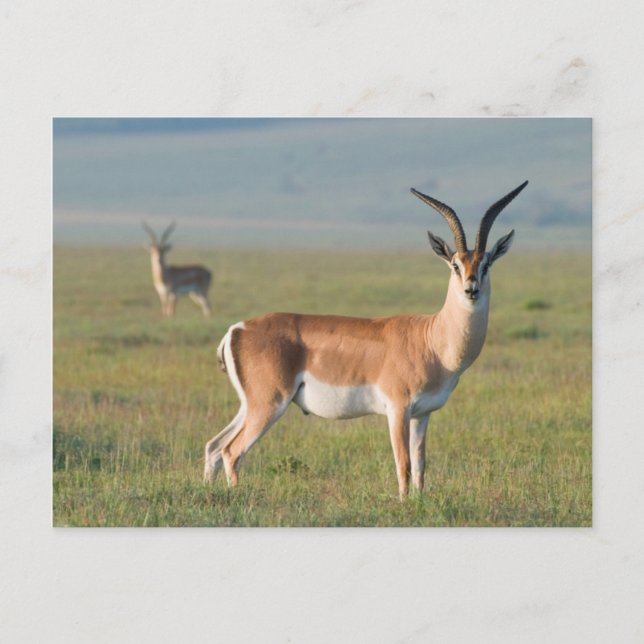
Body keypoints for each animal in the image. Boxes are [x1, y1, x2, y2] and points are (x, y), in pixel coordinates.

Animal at [204, 181, 528, 499]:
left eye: (486, 264)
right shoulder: (398, 408)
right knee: (233, 451)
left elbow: (420, 465)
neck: (432, 340)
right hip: (269, 403)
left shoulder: (422, 414)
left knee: (214, 446)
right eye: (455, 264)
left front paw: (420, 503)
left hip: (249, 405)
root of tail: (237, 329)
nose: (471, 289)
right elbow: (403, 464)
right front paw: (404, 505)